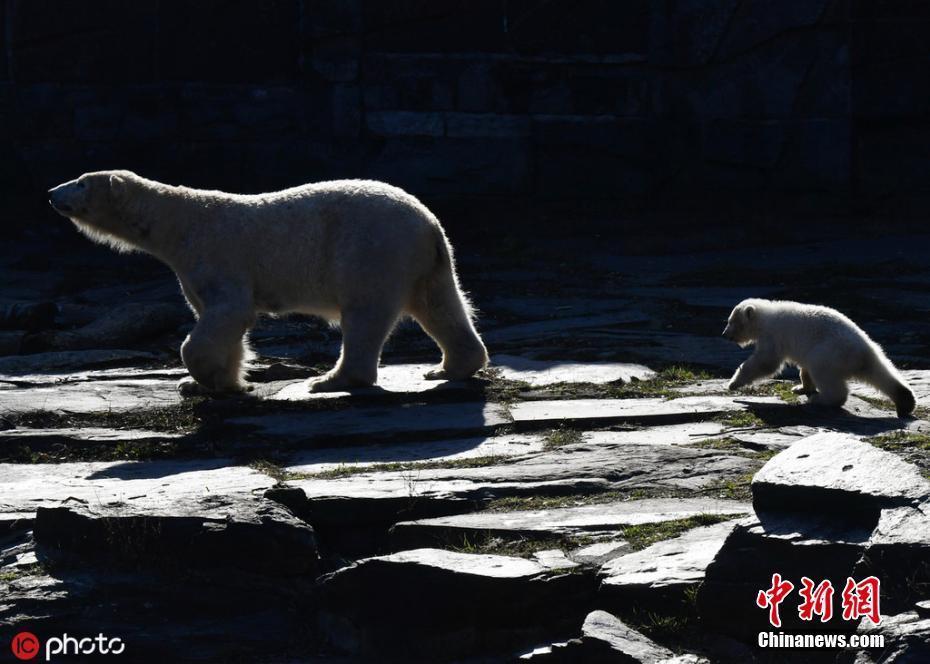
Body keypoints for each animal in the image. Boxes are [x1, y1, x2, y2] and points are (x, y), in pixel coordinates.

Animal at [48, 171, 490, 394]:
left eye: (81, 181)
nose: (51, 191)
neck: (179, 222)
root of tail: (428, 222)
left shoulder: (216, 254)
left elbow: (229, 311)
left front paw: (204, 375)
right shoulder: (192, 270)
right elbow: (220, 320)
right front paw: (218, 381)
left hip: (371, 249)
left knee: (365, 315)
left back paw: (331, 379)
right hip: (427, 261)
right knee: (440, 305)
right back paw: (449, 368)